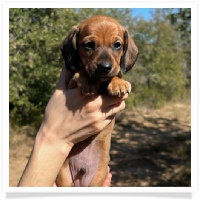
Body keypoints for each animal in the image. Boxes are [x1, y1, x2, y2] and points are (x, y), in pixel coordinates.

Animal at [55, 15, 138, 186]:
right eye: (89, 45)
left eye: (117, 45)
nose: (104, 67)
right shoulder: (70, 80)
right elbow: (81, 71)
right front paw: (88, 82)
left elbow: (116, 74)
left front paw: (117, 83)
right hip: (63, 176)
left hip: (98, 177)